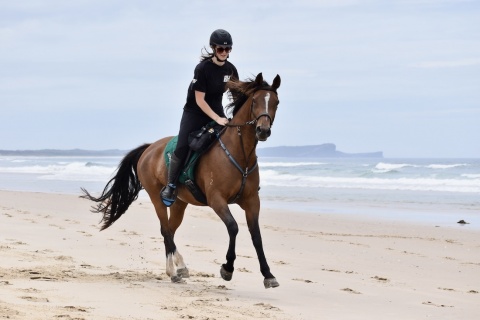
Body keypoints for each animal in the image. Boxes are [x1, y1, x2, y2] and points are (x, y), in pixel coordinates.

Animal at [80, 74, 280, 288]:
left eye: (276, 102)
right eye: (254, 101)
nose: (263, 130)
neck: (239, 154)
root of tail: (149, 148)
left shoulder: (251, 201)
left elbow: (256, 236)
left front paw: (268, 274)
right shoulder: (217, 200)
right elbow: (233, 227)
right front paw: (227, 269)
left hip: (179, 203)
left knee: (169, 229)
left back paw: (179, 267)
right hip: (156, 197)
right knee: (165, 229)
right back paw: (174, 271)